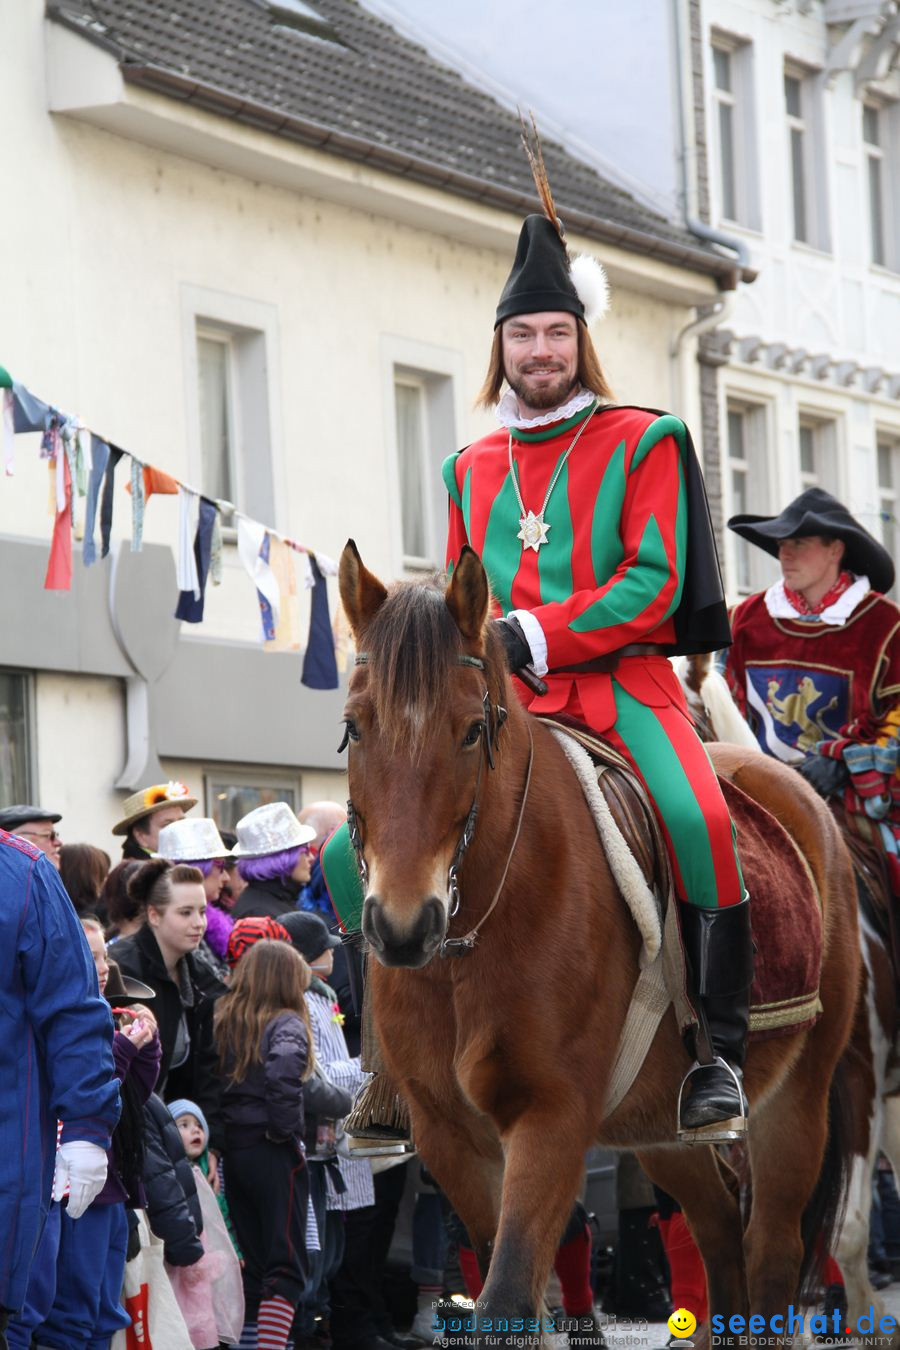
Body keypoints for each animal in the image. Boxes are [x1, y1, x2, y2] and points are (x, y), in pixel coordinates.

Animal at [341, 545, 863, 1339]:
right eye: (355, 726)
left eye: (470, 730)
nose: (402, 927)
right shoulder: (449, 1137)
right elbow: (508, 1297)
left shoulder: (552, 1118)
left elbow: (506, 1299)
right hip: (661, 1134)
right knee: (720, 1239)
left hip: (794, 1105)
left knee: (771, 1254)